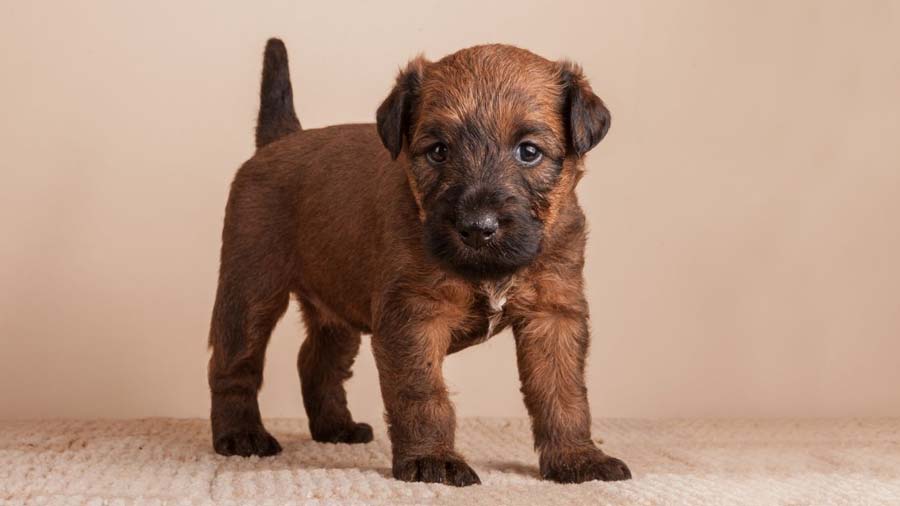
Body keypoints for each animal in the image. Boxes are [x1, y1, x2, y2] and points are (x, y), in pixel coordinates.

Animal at [209, 38, 632, 486]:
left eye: (529, 152)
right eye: (439, 151)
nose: (478, 228)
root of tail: (279, 140)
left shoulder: (553, 316)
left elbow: (562, 393)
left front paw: (577, 457)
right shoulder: (413, 316)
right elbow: (422, 393)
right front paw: (434, 459)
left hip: (338, 303)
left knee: (316, 361)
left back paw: (336, 427)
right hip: (250, 290)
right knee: (234, 364)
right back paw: (240, 435)